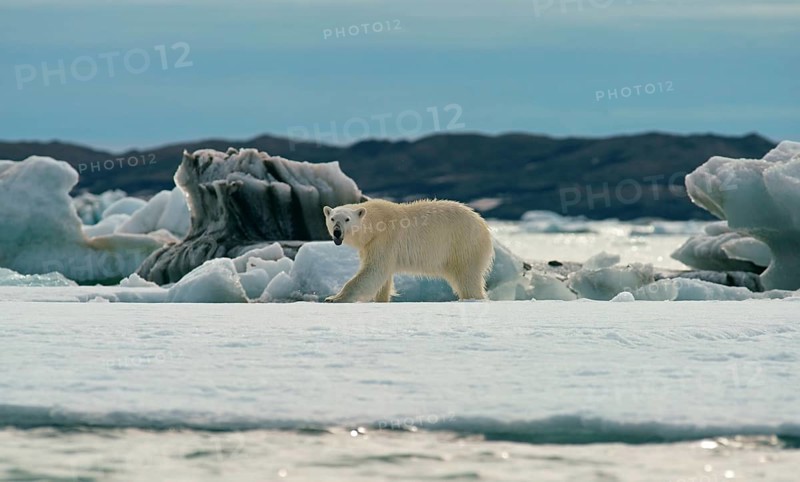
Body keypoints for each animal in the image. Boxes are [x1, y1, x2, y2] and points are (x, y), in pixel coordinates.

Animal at [322, 199, 494, 302]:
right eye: (332, 219)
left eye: (347, 219)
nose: (337, 232)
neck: (375, 223)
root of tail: (483, 224)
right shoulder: (369, 246)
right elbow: (383, 278)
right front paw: (381, 300)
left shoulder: (384, 239)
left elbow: (373, 271)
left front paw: (334, 298)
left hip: (463, 245)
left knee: (467, 277)